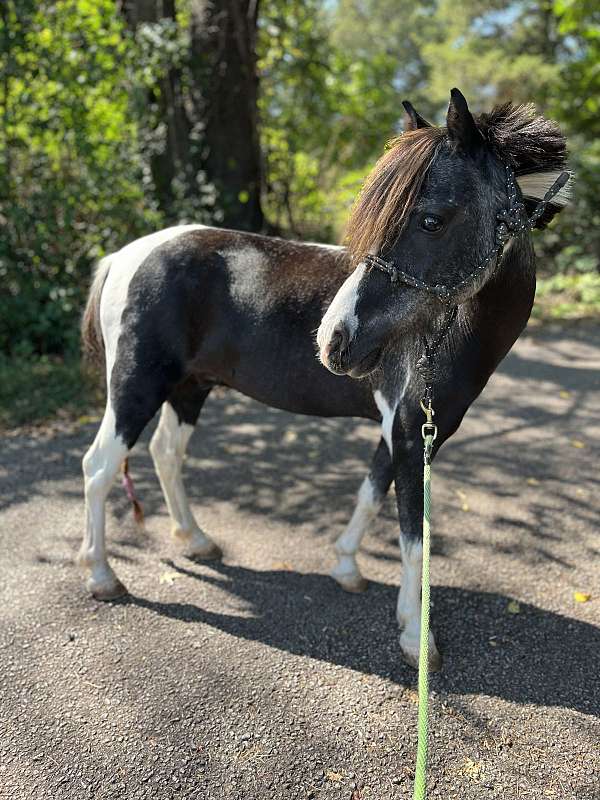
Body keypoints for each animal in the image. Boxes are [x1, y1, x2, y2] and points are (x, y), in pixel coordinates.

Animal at [79, 89, 568, 668]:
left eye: (431, 220)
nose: (334, 340)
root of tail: (126, 256)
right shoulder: (411, 433)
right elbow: (414, 533)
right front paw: (415, 636)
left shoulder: (402, 431)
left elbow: (371, 494)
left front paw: (347, 567)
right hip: (137, 384)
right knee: (99, 466)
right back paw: (102, 576)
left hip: (189, 388)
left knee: (165, 454)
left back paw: (195, 541)